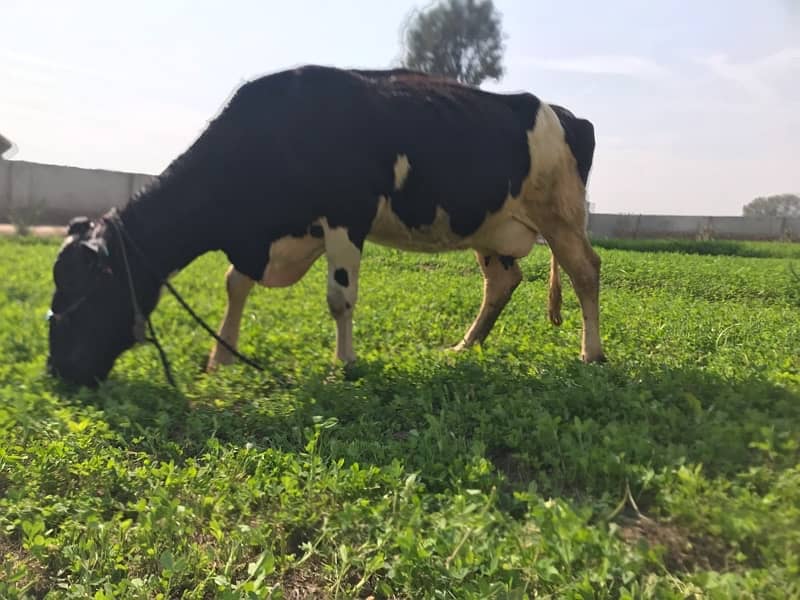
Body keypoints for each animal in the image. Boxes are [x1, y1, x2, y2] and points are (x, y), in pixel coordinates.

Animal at [47, 63, 604, 386]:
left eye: (87, 296)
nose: (57, 373)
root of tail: (566, 113)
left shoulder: (345, 217)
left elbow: (339, 298)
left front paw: (345, 363)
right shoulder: (266, 236)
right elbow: (234, 285)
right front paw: (220, 359)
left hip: (560, 213)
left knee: (586, 271)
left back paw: (591, 353)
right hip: (492, 228)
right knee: (502, 280)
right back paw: (465, 346)